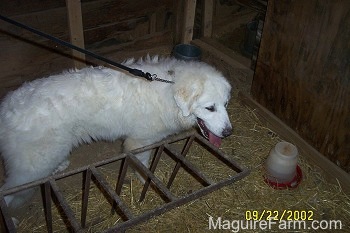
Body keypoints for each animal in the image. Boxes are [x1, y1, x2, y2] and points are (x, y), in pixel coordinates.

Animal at [0, 55, 232, 207]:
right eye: (210, 108)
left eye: (225, 104)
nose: (229, 132)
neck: (168, 89)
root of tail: (5, 109)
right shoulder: (140, 141)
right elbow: (143, 166)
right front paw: (145, 181)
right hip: (31, 167)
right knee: (7, 192)